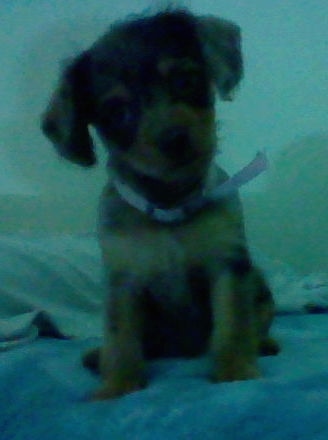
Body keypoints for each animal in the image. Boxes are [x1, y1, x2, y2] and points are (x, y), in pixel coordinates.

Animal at [41, 8, 280, 400]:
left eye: (185, 80)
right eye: (117, 113)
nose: (174, 139)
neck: (170, 204)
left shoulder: (228, 266)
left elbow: (233, 325)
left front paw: (235, 372)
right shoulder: (124, 283)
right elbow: (121, 338)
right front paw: (118, 386)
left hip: (256, 281)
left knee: (257, 321)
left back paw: (264, 344)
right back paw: (97, 357)